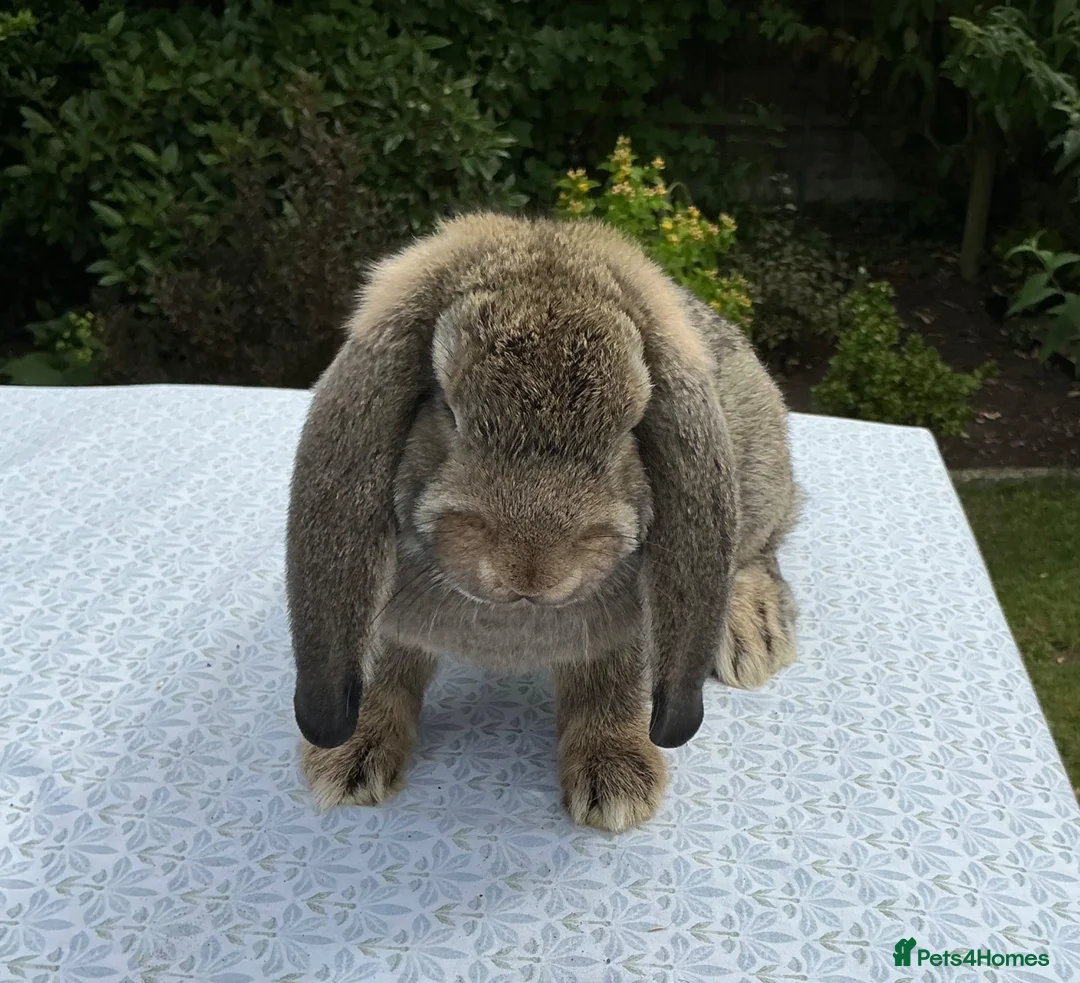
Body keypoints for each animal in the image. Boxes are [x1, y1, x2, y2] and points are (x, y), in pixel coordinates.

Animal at [286, 211, 799, 833]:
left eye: (631, 425)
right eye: (446, 409)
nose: (532, 570)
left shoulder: (624, 637)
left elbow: (610, 688)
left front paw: (616, 785)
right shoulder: (382, 619)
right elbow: (380, 670)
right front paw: (348, 765)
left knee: (761, 550)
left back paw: (752, 636)